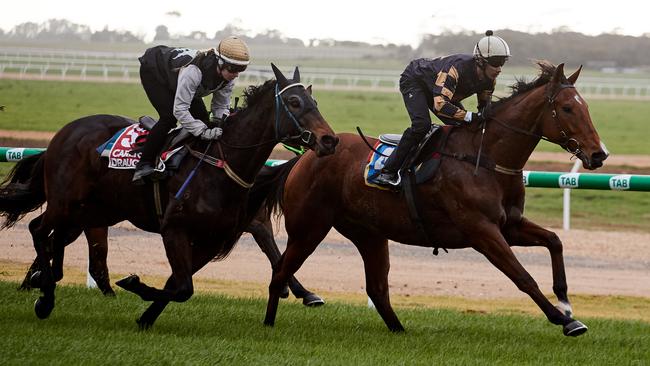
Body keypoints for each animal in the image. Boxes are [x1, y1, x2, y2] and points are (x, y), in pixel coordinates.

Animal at [1, 64, 340, 328]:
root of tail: (62, 134)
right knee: (38, 229)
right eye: (294, 102)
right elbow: (183, 287)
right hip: (65, 202)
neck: (220, 164)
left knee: (56, 239)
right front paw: (134, 285)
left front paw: (145, 317)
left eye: (314, 100)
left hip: (93, 210)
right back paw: (45, 296)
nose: (329, 140)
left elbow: (178, 284)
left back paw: (45, 283)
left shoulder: (210, 239)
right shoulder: (175, 229)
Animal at [260, 61, 604, 336]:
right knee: (279, 272)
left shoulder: (510, 225)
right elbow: (523, 277)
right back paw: (269, 324)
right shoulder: (482, 231)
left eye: (587, 107)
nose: (598, 154)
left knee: (377, 288)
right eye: (568, 109)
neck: (485, 158)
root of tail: (307, 155)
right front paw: (564, 320)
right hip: (309, 228)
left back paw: (399, 331)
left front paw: (566, 303)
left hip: (369, 234)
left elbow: (554, 241)